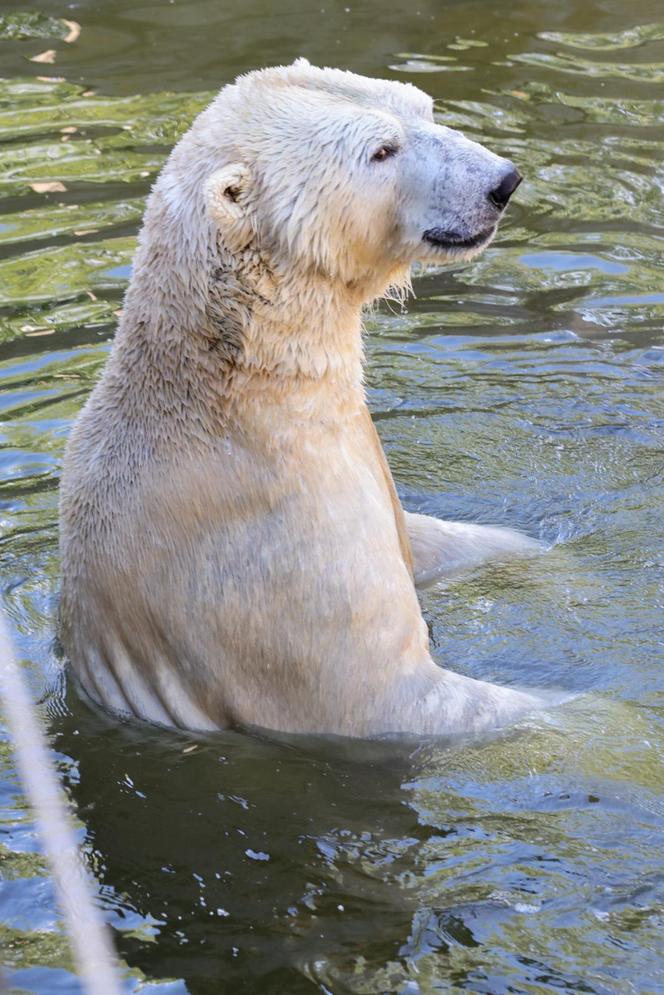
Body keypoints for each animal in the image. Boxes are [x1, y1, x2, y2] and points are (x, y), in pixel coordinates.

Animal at [59, 58, 544, 736]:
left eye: (423, 106)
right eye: (381, 150)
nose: (503, 181)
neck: (241, 399)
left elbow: (439, 540)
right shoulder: (271, 556)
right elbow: (379, 694)